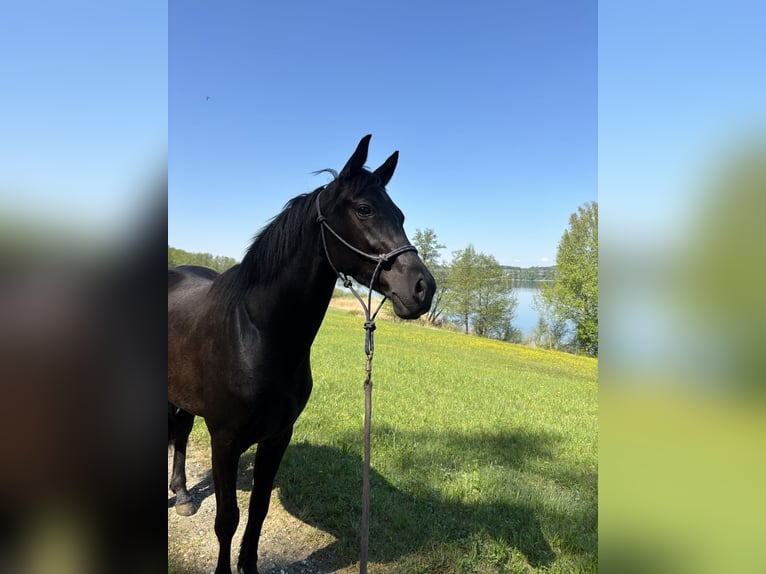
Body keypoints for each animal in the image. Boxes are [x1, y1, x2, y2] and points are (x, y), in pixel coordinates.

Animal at [168, 134, 436, 574]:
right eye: (364, 209)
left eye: (399, 214)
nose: (422, 287)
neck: (259, 335)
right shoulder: (224, 440)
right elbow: (227, 520)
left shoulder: (278, 436)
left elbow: (257, 511)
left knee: (181, 432)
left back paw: (184, 495)